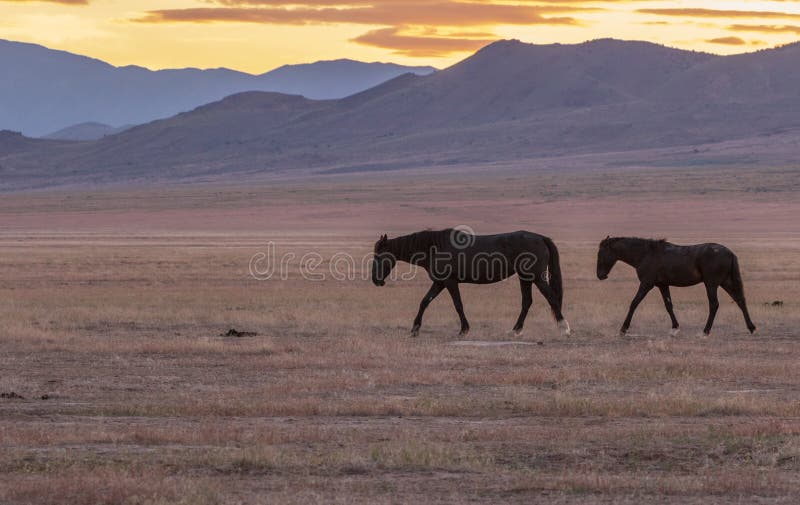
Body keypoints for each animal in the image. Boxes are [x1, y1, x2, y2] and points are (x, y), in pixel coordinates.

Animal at [371, 229, 571, 338]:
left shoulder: (450, 282)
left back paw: (564, 328)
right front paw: (414, 329)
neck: (434, 248)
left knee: (551, 298)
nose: (376, 281)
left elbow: (458, 304)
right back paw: (515, 330)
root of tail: (541, 237)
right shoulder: (439, 282)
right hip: (525, 277)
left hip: (536, 277)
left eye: (379, 257)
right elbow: (424, 302)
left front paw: (464, 330)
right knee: (527, 302)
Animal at [596, 236, 757, 337]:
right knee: (740, 300)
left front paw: (623, 329)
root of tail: (730, 253)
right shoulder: (662, 285)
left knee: (714, 304)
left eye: (601, 253)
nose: (600, 275)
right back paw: (751, 328)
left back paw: (705, 331)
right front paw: (675, 328)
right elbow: (668, 306)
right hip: (725, 282)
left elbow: (634, 303)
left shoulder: (646, 284)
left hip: (711, 284)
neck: (645, 254)